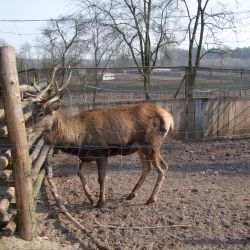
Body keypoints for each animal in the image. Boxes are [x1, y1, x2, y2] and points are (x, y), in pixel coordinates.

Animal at [28, 68, 174, 207]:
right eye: (33, 111)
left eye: (41, 114)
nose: (27, 128)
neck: (77, 139)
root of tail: (169, 118)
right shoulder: (86, 156)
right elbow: (80, 173)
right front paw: (90, 198)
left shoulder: (101, 152)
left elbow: (101, 178)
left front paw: (101, 202)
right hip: (140, 148)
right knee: (147, 168)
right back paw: (131, 195)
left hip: (152, 144)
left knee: (163, 168)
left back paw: (151, 199)